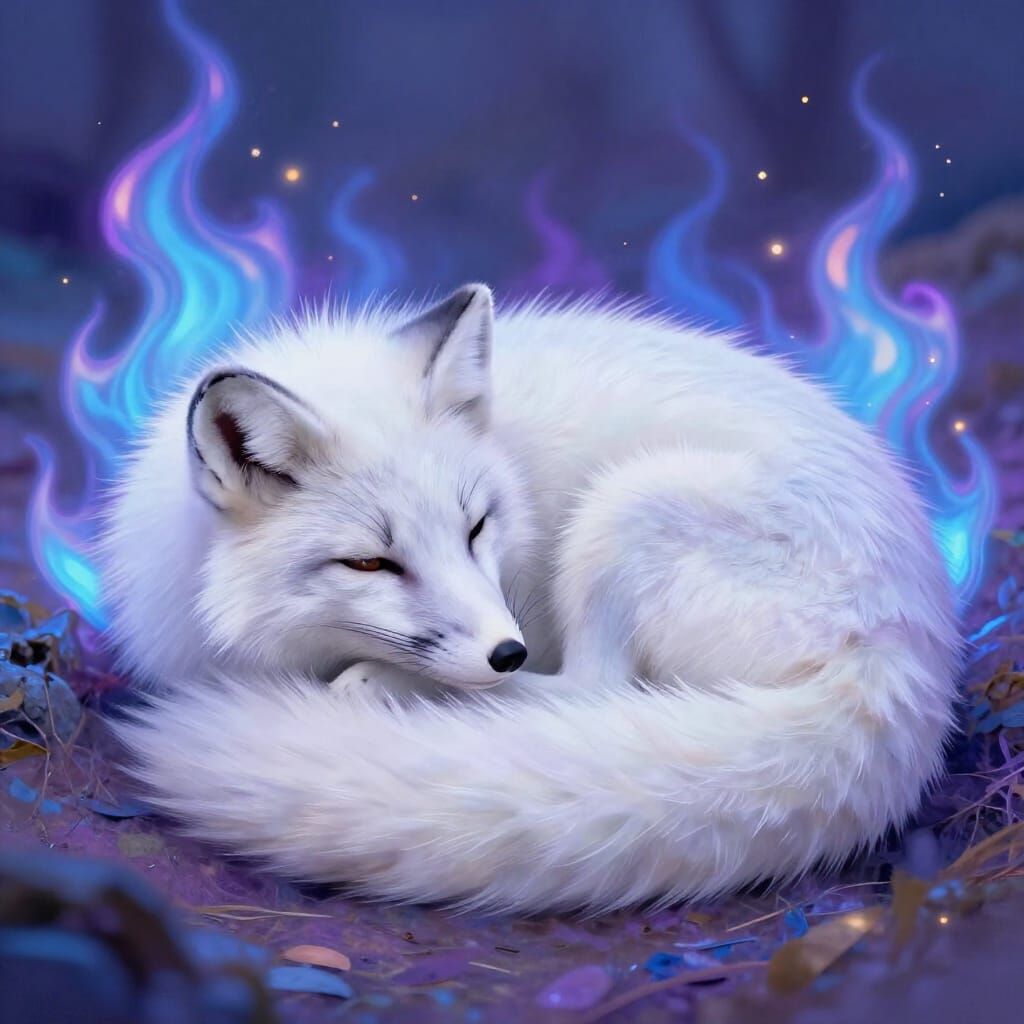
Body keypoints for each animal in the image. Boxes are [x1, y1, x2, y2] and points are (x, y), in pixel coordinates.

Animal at [106, 283, 960, 913]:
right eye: (371, 562)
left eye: (476, 525)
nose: (507, 652)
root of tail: (911, 647)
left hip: (626, 510)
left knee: (592, 690)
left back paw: (396, 692)